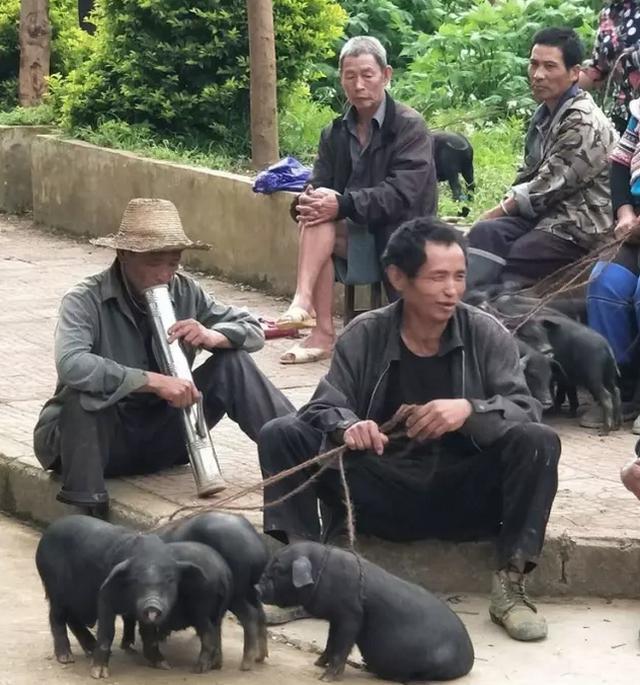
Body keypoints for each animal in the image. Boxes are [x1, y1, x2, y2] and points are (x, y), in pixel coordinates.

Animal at [34, 516, 208, 676]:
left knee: (72, 618)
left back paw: (90, 649)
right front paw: (98, 674)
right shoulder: (104, 595)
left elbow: (149, 634)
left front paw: (164, 665)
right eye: (135, 580)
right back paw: (66, 658)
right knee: (56, 617)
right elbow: (107, 631)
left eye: (170, 580)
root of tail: (48, 532)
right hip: (54, 587)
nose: (152, 604)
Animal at [159, 512, 272, 668]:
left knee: (250, 616)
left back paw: (245, 664)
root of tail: (257, 550)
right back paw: (259, 657)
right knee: (260, 613)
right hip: (251, 590)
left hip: (237, 593)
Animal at [258, 544, 472, 680]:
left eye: (278, 570)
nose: (257, 588)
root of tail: (469, 658)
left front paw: (324, 678)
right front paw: (317, 664)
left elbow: (342, 645)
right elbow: (330, 642)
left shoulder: (350, 615)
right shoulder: (335, 617)